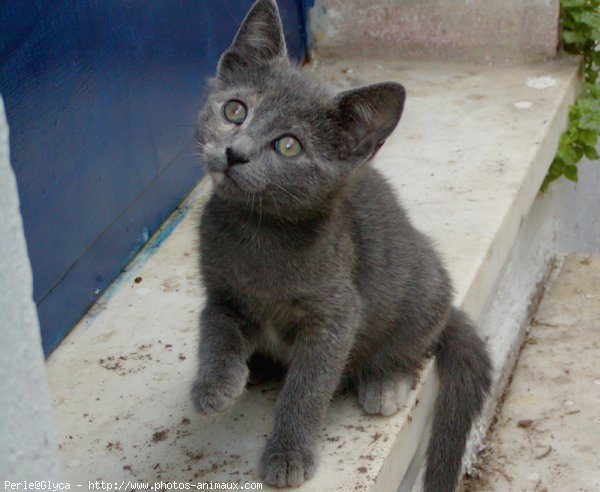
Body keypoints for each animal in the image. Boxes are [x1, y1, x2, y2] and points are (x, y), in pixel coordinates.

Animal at [192, 1, 492, 490]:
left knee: (412, 345)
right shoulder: (221, 293)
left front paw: (289, 453)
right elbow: (215, 332)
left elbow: (308, 386)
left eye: (288, 146)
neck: (259, 231)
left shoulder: (335, 315)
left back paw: (385, 383)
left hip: (423, 289)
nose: (235, 152)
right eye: (235, 110)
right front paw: (214, 385)